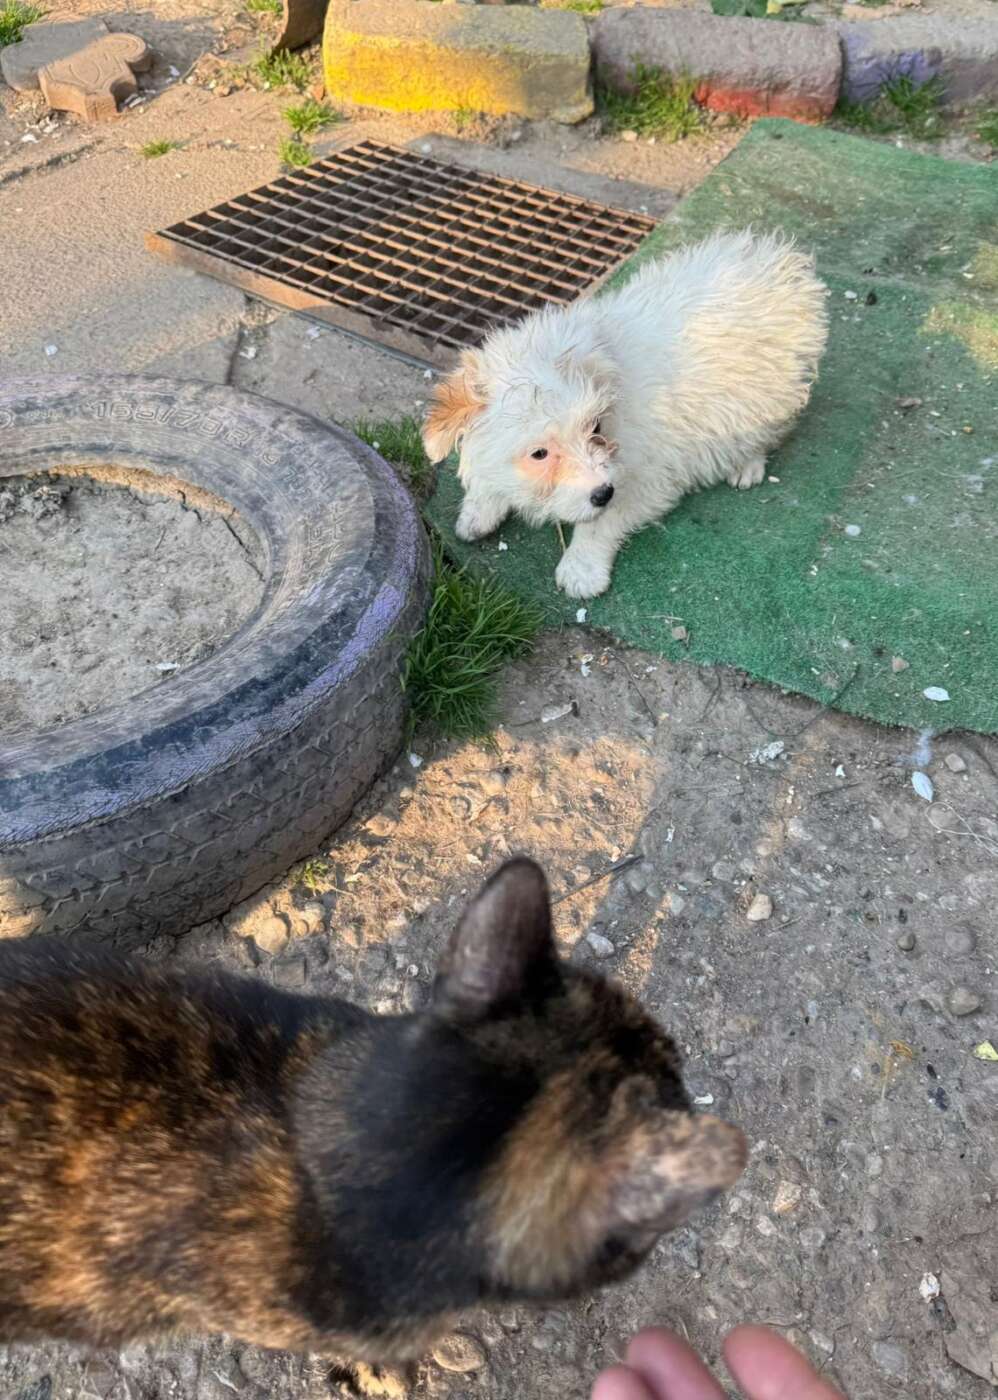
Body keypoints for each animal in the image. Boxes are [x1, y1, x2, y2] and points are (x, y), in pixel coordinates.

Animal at [423, 230, 828, 598]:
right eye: (539, 453)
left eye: (594, 427)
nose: (603, 493)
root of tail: (776, 261)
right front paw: (479, 510)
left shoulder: (646, 476)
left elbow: (602, 523)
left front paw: (581, 568)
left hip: (767, 392)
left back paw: (746, 464)